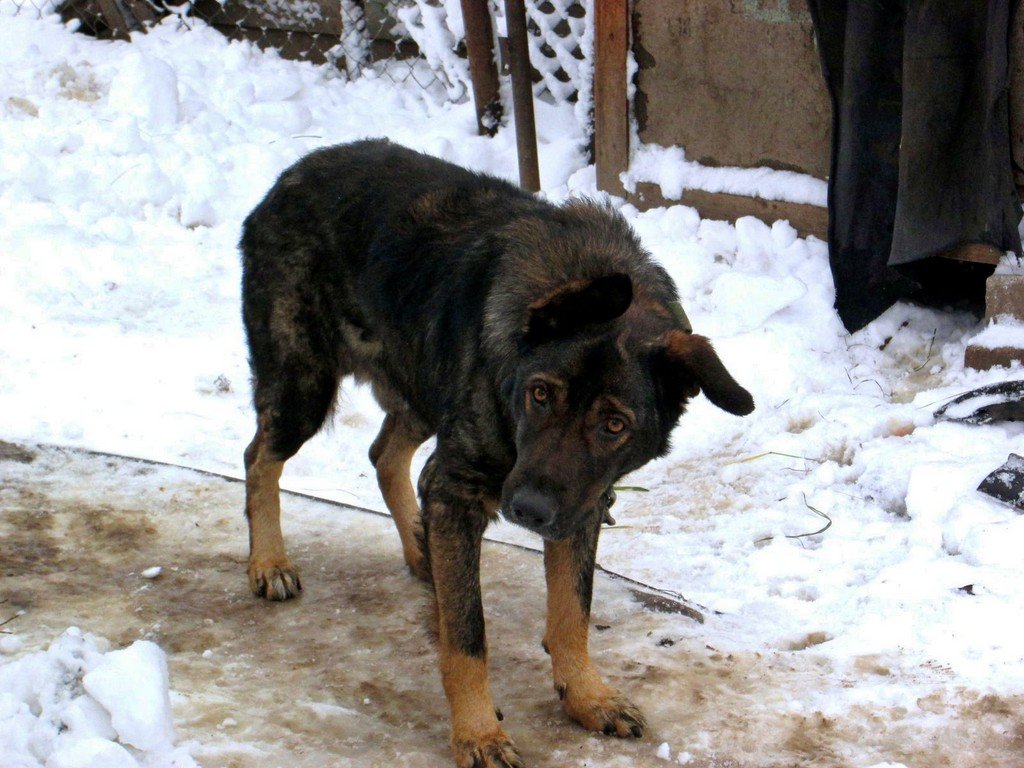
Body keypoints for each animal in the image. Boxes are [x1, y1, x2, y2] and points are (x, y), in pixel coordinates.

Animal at [237, 140, 753, 768]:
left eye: (614, 425)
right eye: (541, 394)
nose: (528, 511)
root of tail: (291, 174)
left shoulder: (579, 505)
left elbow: (572, 612)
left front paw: (586, 695)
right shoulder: (461, 488)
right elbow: (467, 636)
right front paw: (477, 732)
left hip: (419, 392)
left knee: (384, 455)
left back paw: (421, 549)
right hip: (303, 388)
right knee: (259, 456)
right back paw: (269, 562)